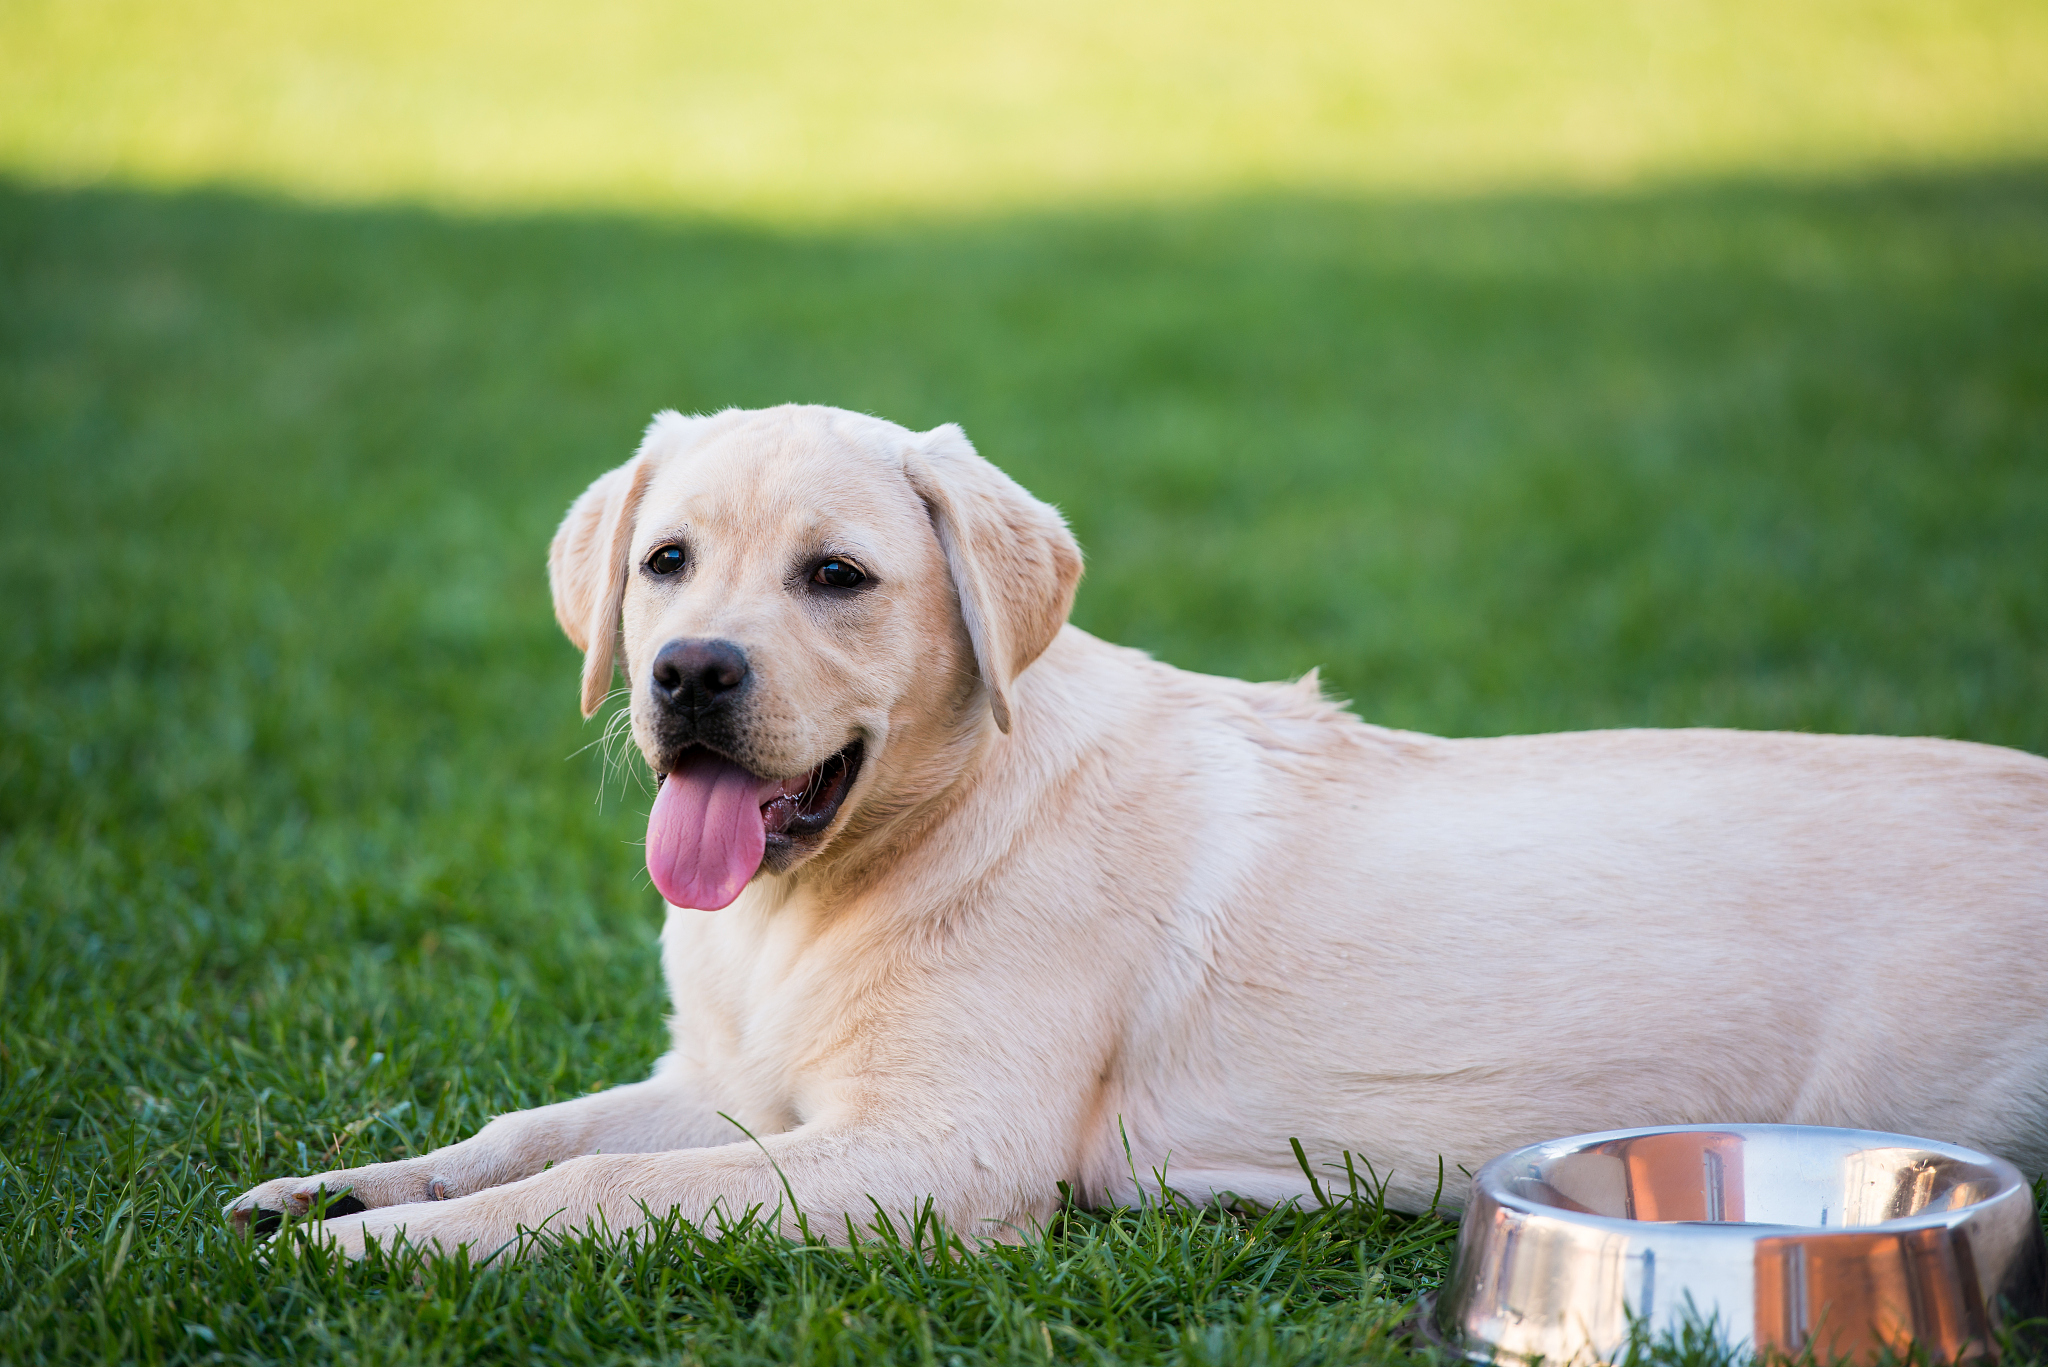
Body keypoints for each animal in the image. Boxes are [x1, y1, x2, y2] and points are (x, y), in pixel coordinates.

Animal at [232, 401, 2048, 1254]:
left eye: (837, 575)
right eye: (667, 561)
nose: (687, 672)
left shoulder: (936, 1154)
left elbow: (590, 1187)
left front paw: (384, 1251)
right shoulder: (740, 1088)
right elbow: (536, 1130)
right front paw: (336, 1187)